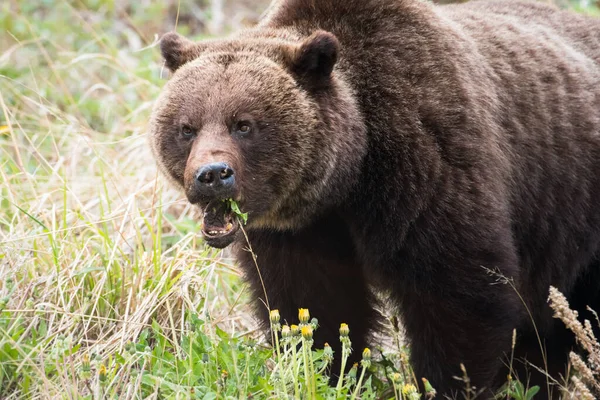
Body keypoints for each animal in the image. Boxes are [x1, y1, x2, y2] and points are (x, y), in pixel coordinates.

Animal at [149, 0, 600, 396]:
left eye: (243, 124)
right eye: (186, 127)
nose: (212, 175)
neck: (351, 176)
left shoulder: (430, 171)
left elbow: (459, 299)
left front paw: (447, 384)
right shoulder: (298, 233)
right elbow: (312, 308)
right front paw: (330, 372)